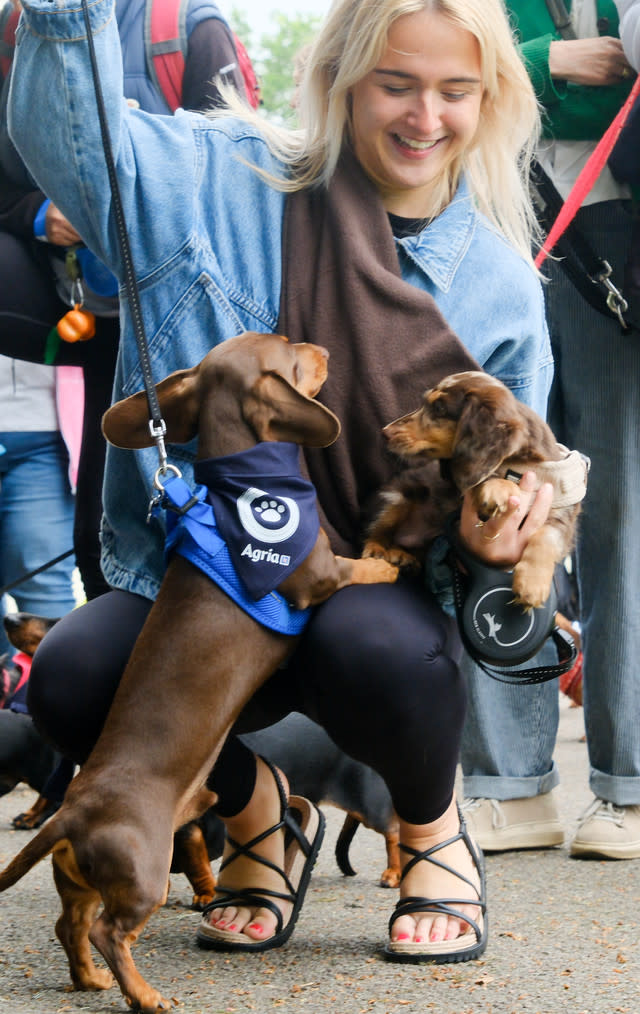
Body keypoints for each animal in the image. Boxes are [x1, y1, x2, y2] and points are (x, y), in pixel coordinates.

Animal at [0, 334, 395, 1014]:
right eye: (291, 350)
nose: (321, 346)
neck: (246, 486)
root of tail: (71, 812)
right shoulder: (318, 575)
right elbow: (357, 567)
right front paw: (391, 561)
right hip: (143, 876)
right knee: (107, 931)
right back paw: (143, 994)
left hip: (79, 878)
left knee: (69, 925)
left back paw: (90, 980)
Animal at [365, 373, 592, 608]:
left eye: (439, 408)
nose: (384, 433)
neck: (524, 464)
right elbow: (486, 479)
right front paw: (499, 489)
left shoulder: (564, 517)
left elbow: (546, 537)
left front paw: (532, 584)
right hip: (398, 497)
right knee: (377, 531)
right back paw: (376, 552)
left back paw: (404, 558)